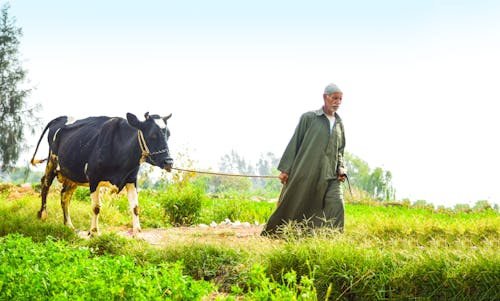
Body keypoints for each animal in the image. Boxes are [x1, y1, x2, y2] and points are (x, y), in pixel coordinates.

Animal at [30, 111, 174, 236]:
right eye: (153, 135)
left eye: (168, 135)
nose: (169, 161)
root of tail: (60, 118)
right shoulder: (94, 178)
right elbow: (96, 207)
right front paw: (93, 232)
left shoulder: (132, 179)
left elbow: (135, 207)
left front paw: (137, 233)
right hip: (52, 162)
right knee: (45, 185)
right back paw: (43, 216)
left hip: (73, 174)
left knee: (64, 195)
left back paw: (69, 225)